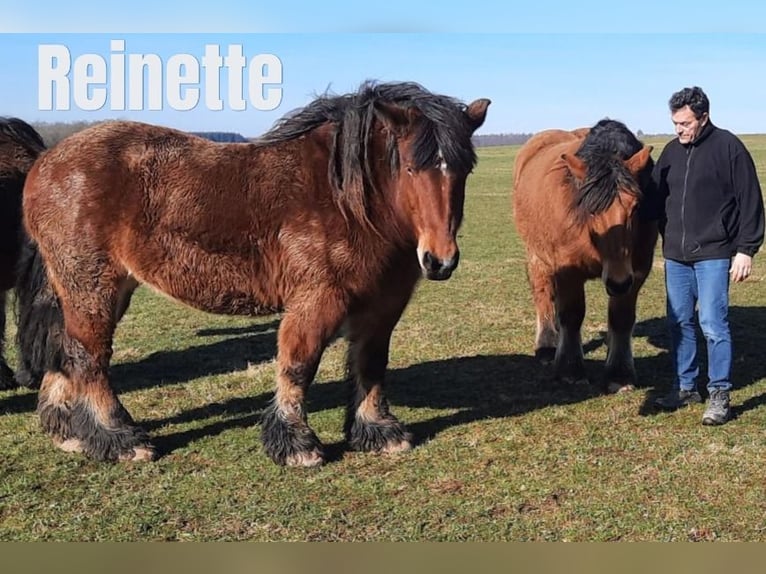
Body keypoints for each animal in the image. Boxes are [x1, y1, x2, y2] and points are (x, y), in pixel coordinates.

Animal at [19, 81, 490, 466]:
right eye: (409, 167)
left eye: (464, 169)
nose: (440, 260)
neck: (347, 201)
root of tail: (47, 162)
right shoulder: (317, 299)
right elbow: (298, 364)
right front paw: (297, 444)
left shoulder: (381, 306)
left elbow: (371, 364)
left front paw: (378, 432)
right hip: (92, 286)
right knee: (89, 357)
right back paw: (120, 439)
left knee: (66, 350)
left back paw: (70, 434)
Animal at [512, 119, 658, 392]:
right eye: (591, 210)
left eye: (635, 206)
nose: (618, 281)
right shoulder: (567, 269)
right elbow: (571, 315)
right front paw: (570, 370)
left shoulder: (637, 271)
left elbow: (621, 319)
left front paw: (619, 375)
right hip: (537, 255)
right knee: (543, 294)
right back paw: (547, 345)